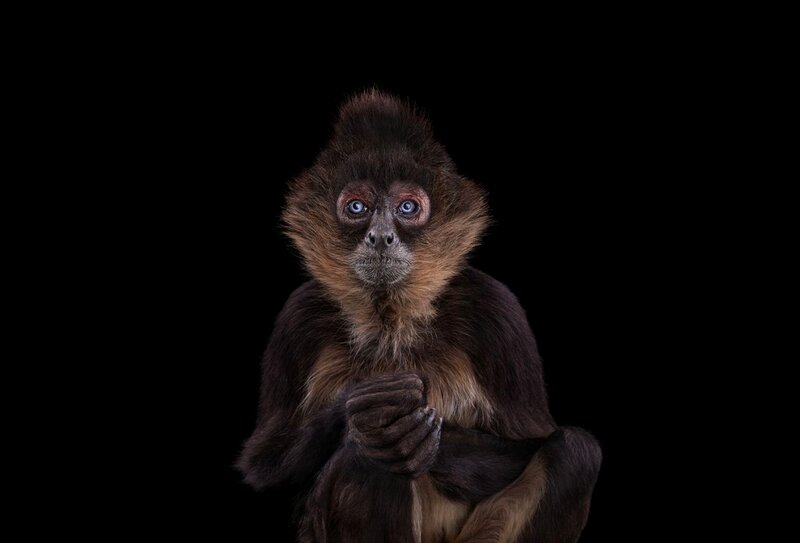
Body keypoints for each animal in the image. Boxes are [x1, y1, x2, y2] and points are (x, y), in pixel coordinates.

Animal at [237, 90, 601, 542]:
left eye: (408, 207)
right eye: (357, 207)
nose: (380, 236)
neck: (389, 321)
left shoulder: (494, 309)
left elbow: (533, 443)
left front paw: (417, 439)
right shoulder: (297, 316)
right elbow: (264, 468)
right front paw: (353, 411)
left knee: (578, 450)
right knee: (363, 459)